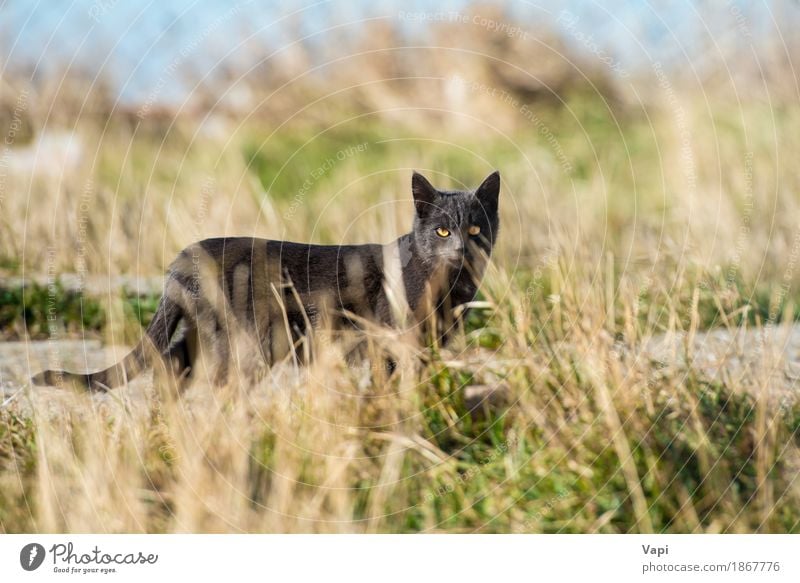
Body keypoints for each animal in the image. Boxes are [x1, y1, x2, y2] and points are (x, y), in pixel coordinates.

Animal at [36, 170, 500, 392]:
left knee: (168, 366)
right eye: (443, 231)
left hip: (206, 335)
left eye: (476, 229)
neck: (449, 287)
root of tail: (184, 256)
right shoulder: (388, 343)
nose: (463, 247)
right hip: (245, 343)